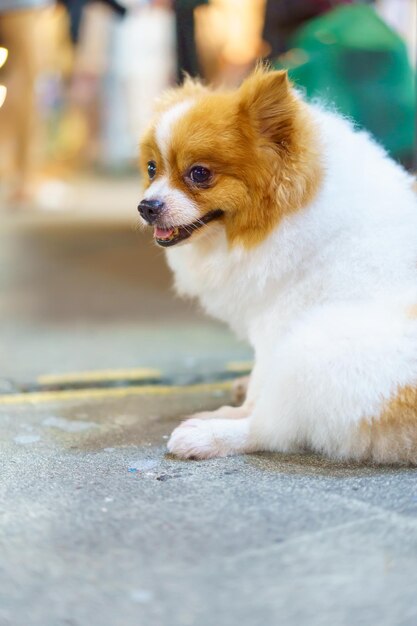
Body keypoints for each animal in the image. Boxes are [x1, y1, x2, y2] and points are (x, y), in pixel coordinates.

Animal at [138, 67, 416, 464]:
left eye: (199, 174)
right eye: (151, 169)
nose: (147, 206)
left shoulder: (278, 318)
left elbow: (262, 383)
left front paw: (238, 409)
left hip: (318, 349)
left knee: (273, 429)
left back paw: (208, 434)